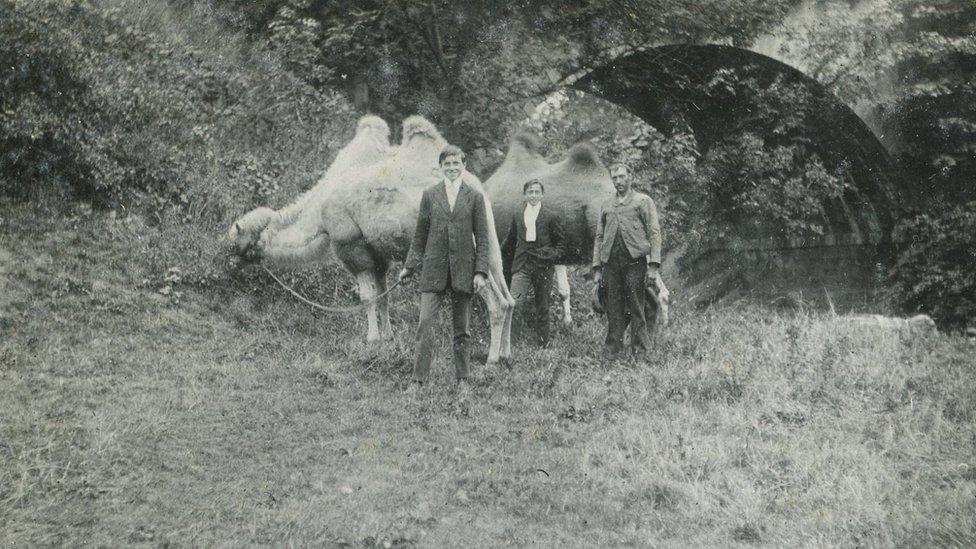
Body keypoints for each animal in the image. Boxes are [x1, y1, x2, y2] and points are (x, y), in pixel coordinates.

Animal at [230, 115, 520, 364]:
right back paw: (506, 353)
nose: (229, 260)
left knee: (497, 303)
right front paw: (387, 337)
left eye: (237, 238)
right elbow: (383, 297)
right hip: (489, 246)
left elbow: (366, 298)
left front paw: (370, 339)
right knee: (509, 298)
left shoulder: (352, 247)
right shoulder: (377, 253)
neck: (319, 211)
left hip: (468, 254)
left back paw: (492, 359)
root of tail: (478, 189)